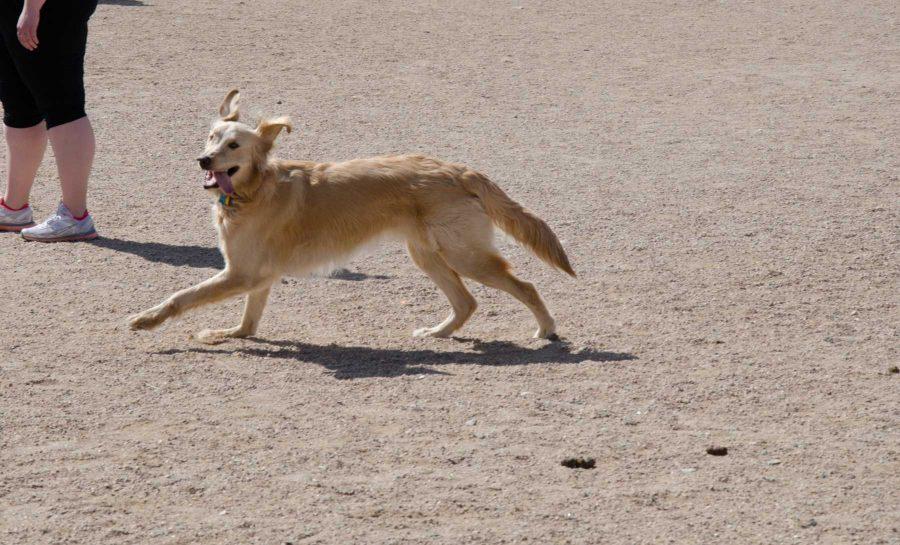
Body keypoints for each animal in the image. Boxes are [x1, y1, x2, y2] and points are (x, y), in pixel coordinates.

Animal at [126, 91, 572, 342]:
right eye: (211, 138)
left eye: (233, 145)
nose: (203, 159)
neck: (254, 191)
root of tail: (459, 170)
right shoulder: (258, 277)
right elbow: (248, 323)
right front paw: (230, 334)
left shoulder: (241, 274)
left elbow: (182, 296)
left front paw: (147, 319)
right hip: (427, 255)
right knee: (466, 303)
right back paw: (438, 333)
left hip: (465, 255)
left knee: (525, 285)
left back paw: (545, 329)